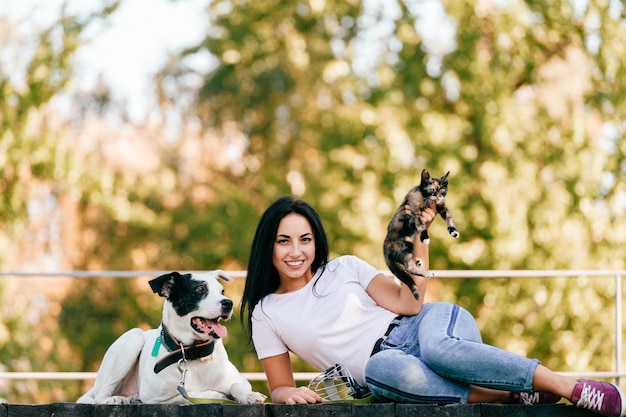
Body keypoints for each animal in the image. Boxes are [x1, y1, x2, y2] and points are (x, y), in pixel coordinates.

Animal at [76, 270, 266, 404]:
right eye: (199, 289)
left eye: (222, 291)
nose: (228, 303)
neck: (192, 352)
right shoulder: (158, 396)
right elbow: (187, 395)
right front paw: (219, 394)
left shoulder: (240, 380)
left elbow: (236, 385)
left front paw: (249, 395)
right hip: (132, 338)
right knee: (99, 396)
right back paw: (115, 398)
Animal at [380, 169, 458, 300]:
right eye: (432, 190)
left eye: (442, 190)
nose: (438, 195)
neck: (425, 197)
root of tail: (385, 249)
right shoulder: (415, 211)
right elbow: (421, 224)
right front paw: (425, 237)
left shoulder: (441, 205)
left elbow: (448, 217)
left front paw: (453, 231)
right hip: (404, 246)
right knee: (409, 268)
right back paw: (426, 272)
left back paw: (418, 262)